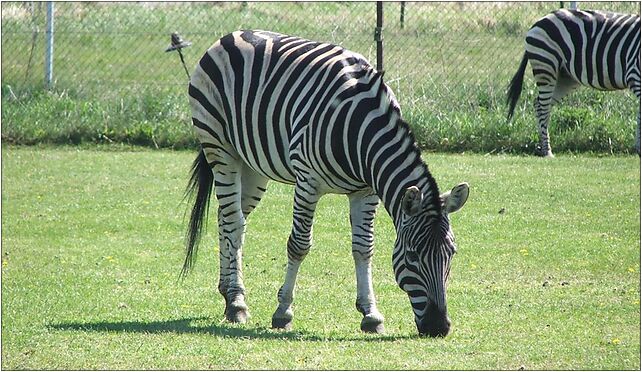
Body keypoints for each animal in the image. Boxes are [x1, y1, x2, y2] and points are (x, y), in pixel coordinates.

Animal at [182, 29, 468, 338]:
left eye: (451, 253)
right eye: (413, 256)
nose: (438, 327)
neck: (361, 134)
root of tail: (234, 34)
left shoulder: (366, 191)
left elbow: (364, 247)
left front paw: (371, 314)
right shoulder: (307, 182)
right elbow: (299, 244)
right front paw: (283, 311)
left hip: (253, 166)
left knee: (228, 219)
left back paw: (228, 292)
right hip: (220, 149)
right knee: (234, 222)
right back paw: (237, 303)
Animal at [508, 8, 636, 157]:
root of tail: (538, 22)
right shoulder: (635, 73)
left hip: (565, 77)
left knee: (539, 104)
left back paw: (541, 148)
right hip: (546, 66)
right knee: (543, 106)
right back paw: (547, 151)